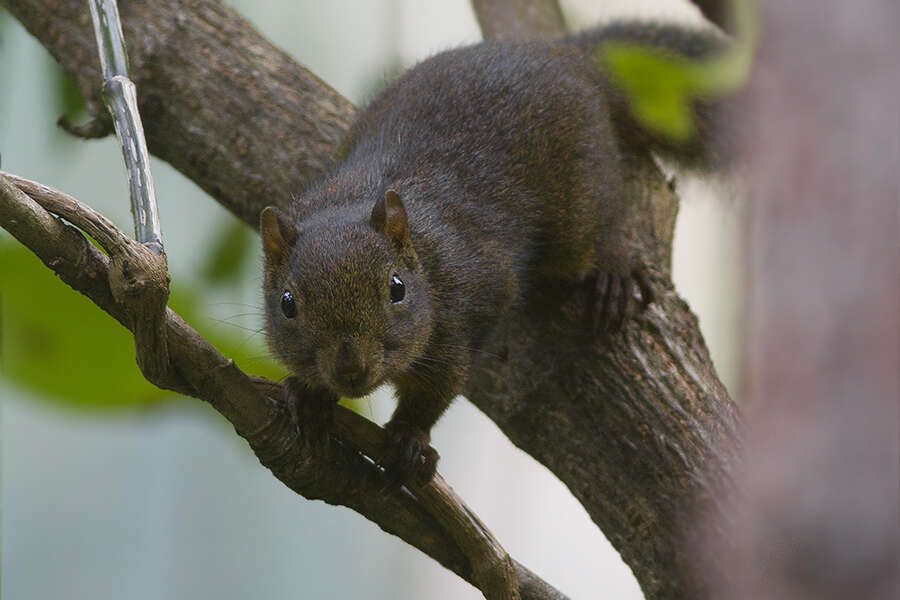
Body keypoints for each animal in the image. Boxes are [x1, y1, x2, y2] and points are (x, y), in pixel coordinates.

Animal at [256, 21, 728, 488]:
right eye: (287, 304)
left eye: (397, 289)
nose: (350, 370)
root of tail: (565, 57)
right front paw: (309, 395)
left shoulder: (462, 312)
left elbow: (439, 388)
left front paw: (409, 436)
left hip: (577, 205)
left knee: (599, 226)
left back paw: (613, 271)